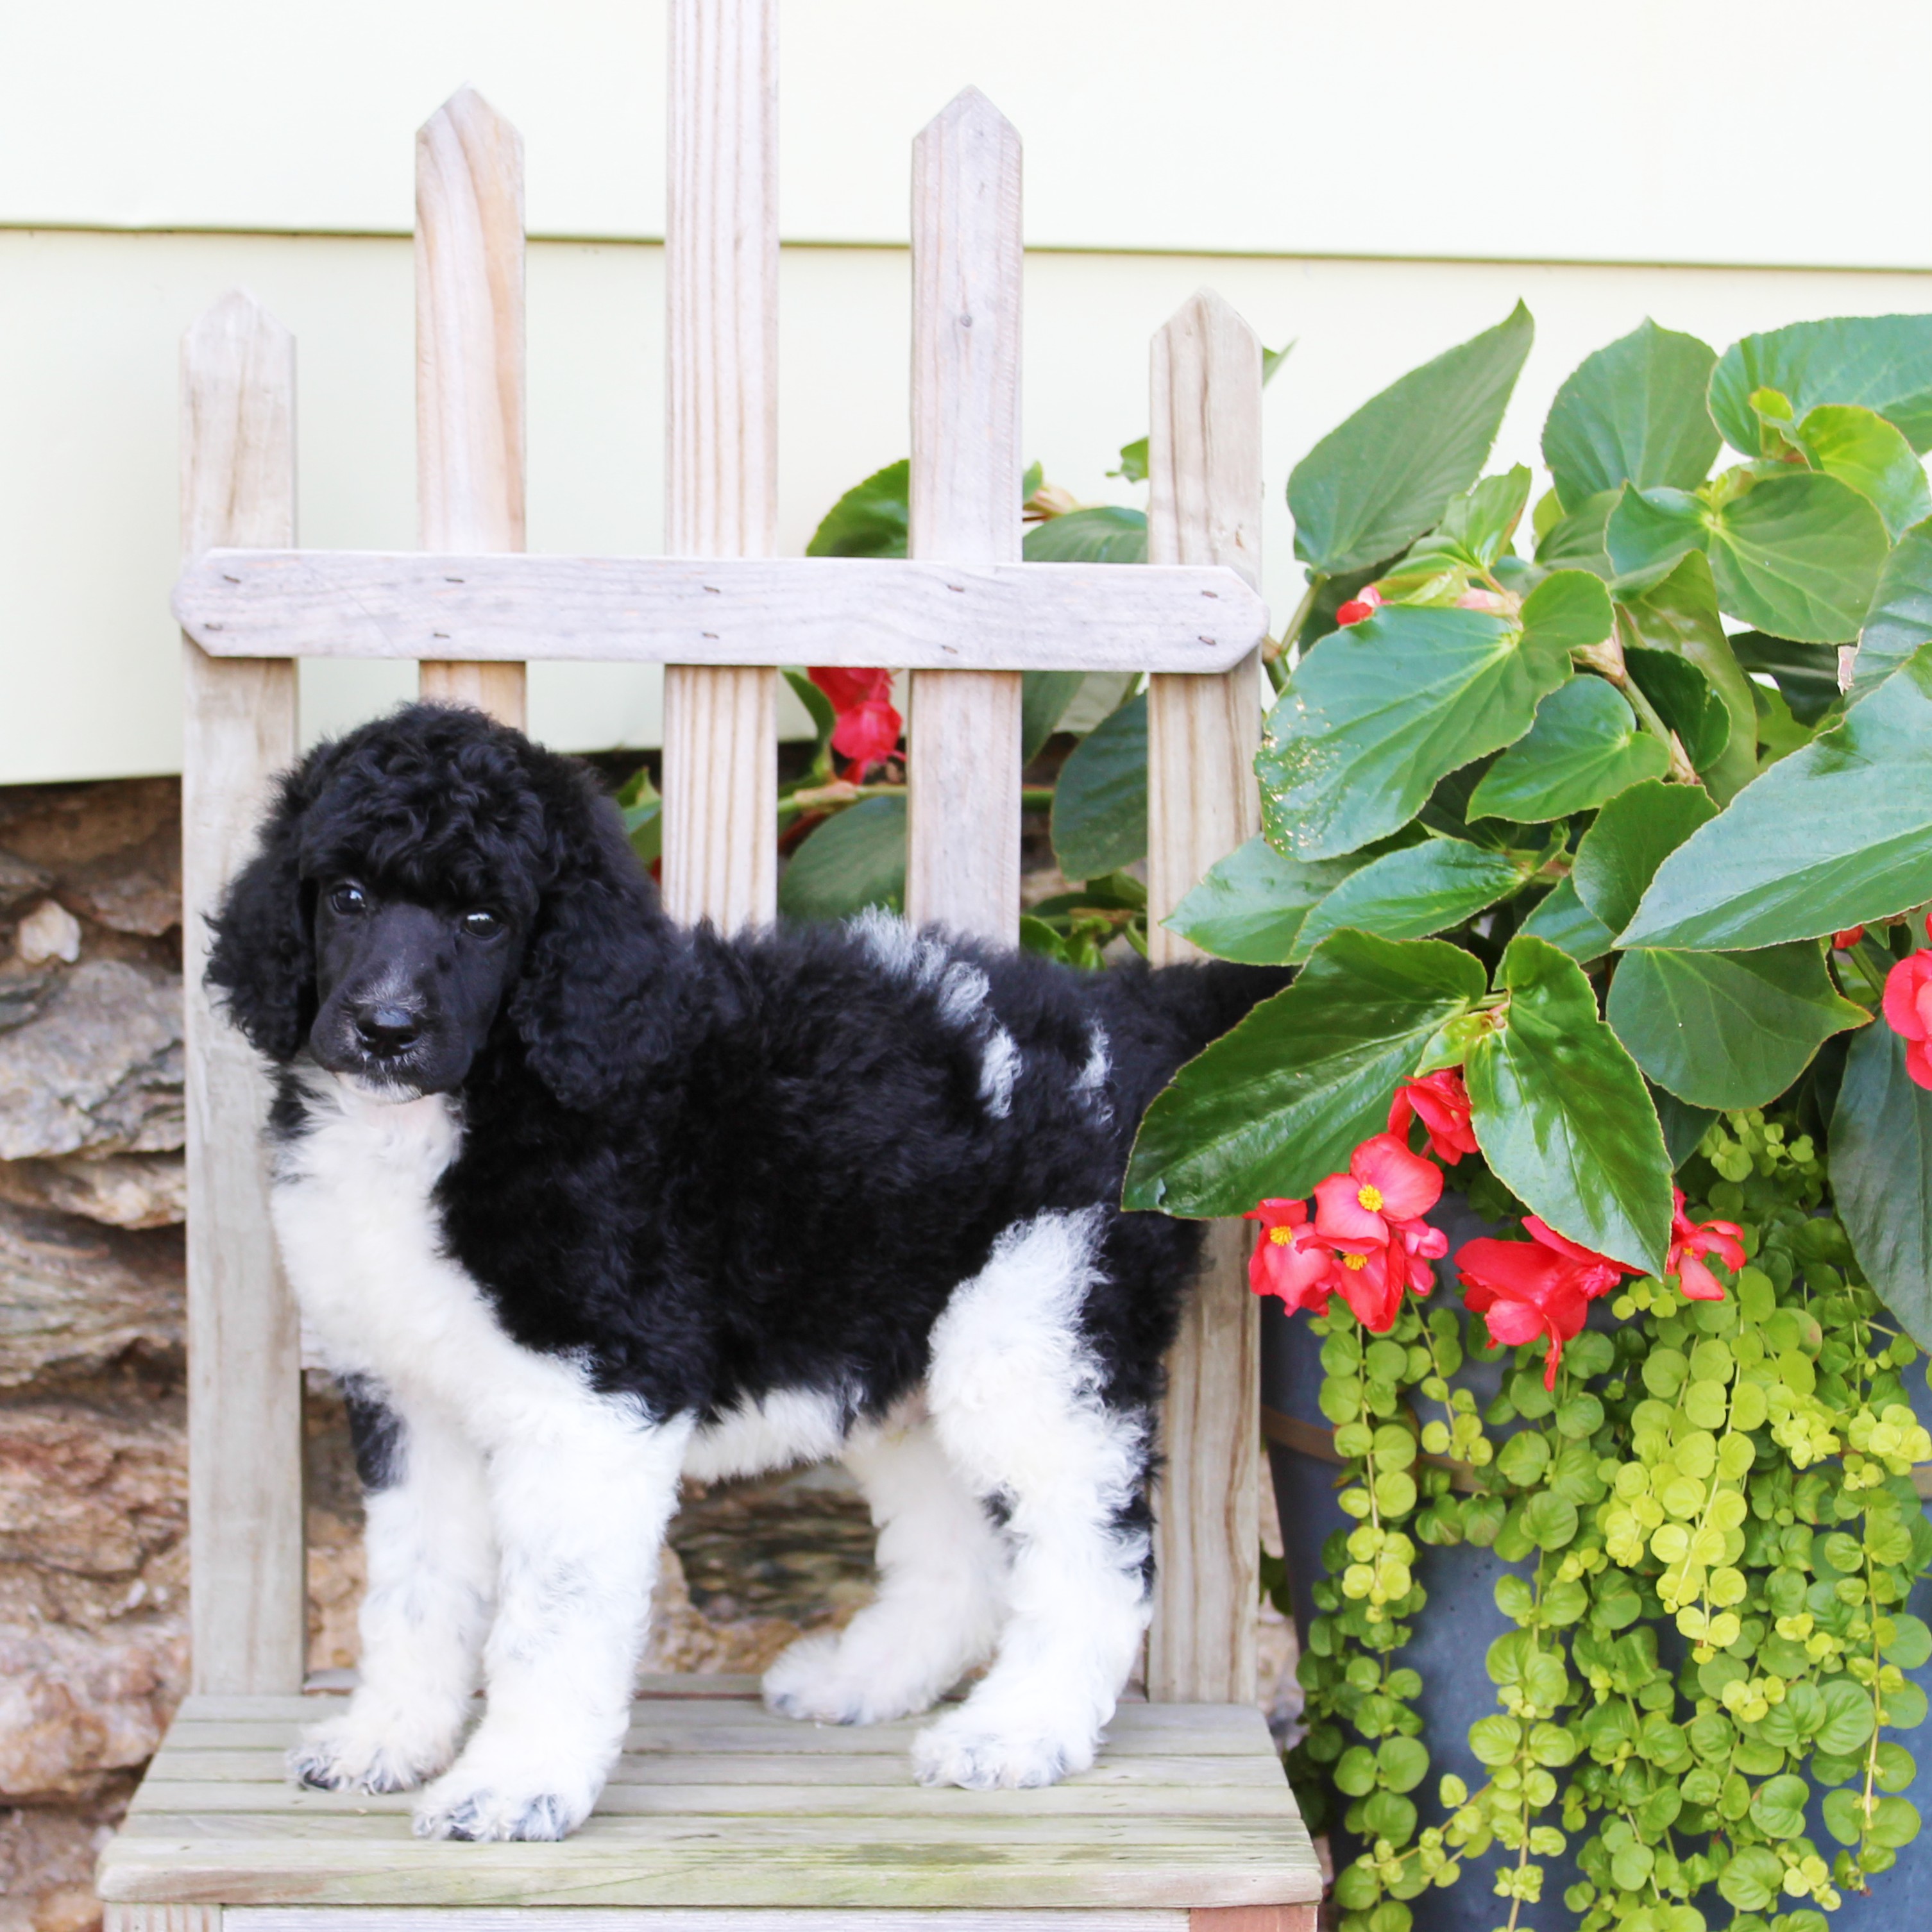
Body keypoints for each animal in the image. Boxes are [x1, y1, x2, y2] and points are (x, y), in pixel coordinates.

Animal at [207, 707, 1282, 1839]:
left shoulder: (593, 1395)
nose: (385, 1029)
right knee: (964, 1552)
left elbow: (552, 1614)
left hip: (1039, 1333)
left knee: (1091, 1553)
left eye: (484, 919)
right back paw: (869, 1679)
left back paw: (1019, 1732)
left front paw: (512, 1786)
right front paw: (387, 1741)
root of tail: (1128, 1018)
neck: (470, 1109)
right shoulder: (409, 1394)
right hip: (902, 1352)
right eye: (347, 897)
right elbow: (414, 1589)